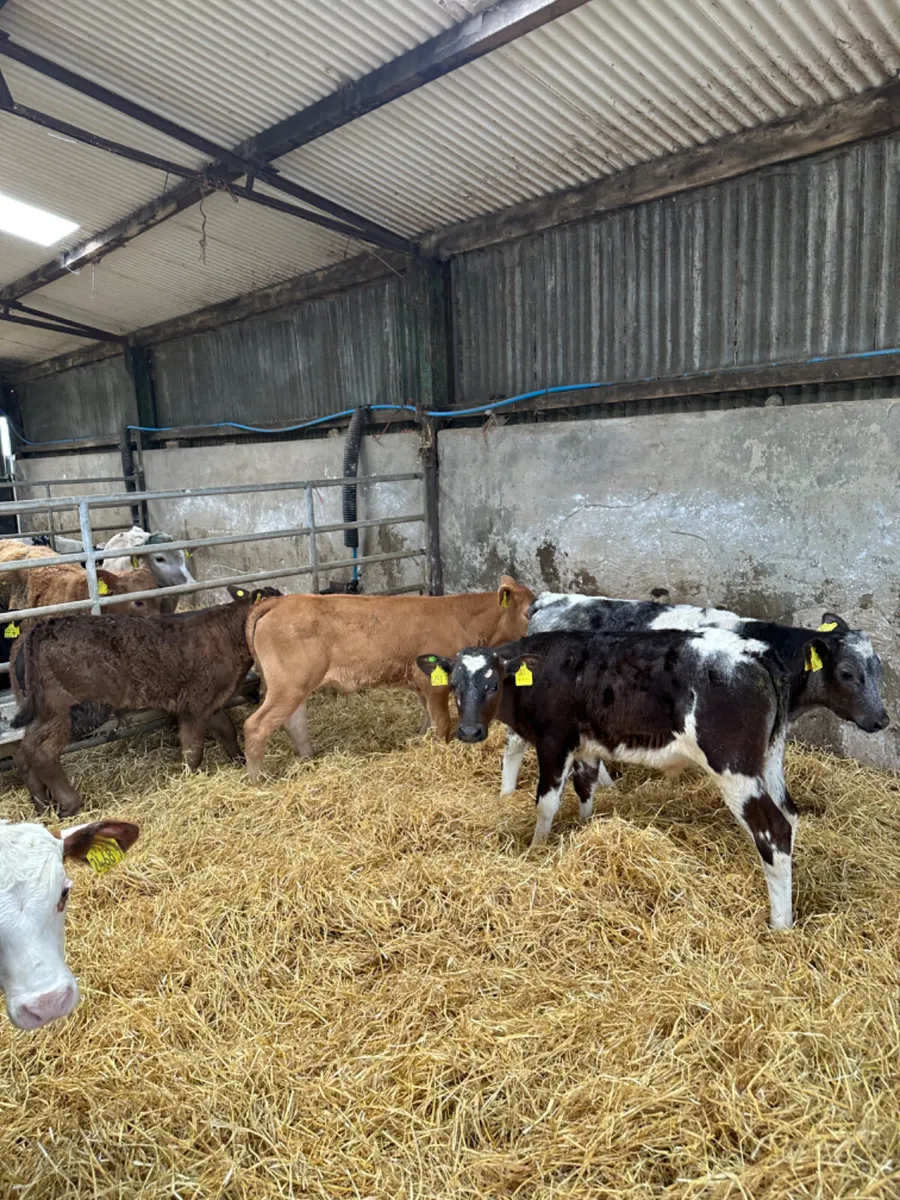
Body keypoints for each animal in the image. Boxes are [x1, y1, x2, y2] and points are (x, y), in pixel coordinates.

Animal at [10, 585, 282, 816]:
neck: (229, 633)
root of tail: (43, 626)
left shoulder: (211, 700)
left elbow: (227, 730)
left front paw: (241, 760)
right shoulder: (194, 704)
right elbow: (193, 749)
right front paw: (189, 777)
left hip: (47, 711)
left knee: (25, 749)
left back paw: (41, 804)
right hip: (80, 709)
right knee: (43, 751)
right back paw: (69, 804)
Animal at [241, 575, 535, 781]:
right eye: (528, 612)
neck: (461, 618)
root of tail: (279, 602)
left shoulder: (420, 683)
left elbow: (427, 721)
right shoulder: (435, 684)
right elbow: (441, 723)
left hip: (296, 686)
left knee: (295, 722)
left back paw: (309, 760)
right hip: (289, 686)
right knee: (256, 726)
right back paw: (259, 782)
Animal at [418, 621, 888, 930]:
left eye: (493, 683)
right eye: (455, 685)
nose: (469, 732)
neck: (546, 668)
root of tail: (755, 656)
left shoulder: (555, 740)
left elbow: (546, 804)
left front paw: (536, 851)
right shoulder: (587, 746)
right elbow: (585, 790)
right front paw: (586, 833)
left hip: (734, 766)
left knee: (773, 830)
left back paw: (780, 923)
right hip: (768, 760)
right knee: (789, 815)